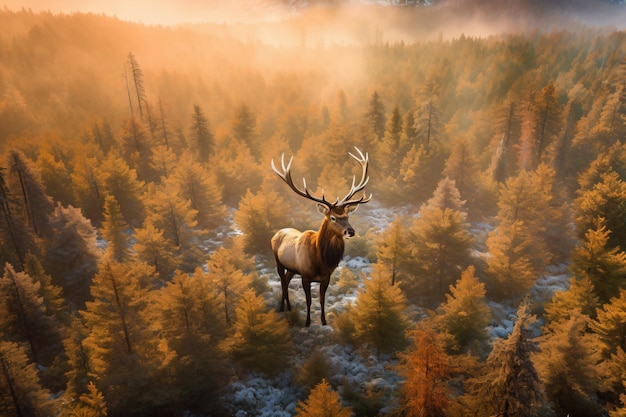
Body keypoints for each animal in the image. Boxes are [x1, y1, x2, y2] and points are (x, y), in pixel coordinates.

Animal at [270, 146, 370, 324]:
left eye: (347, 216)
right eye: (333, 217)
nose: (350, 231)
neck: (320, 259)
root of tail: (277, 233)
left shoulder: (326, 277)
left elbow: (322, 300)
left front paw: (324, 322)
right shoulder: (305, 275)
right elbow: (309, 300)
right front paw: (307, 322)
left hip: (292, 268)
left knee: (286, 281)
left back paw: (289, 308)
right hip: (278, 261)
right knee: (282, 282)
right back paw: (282, 308)